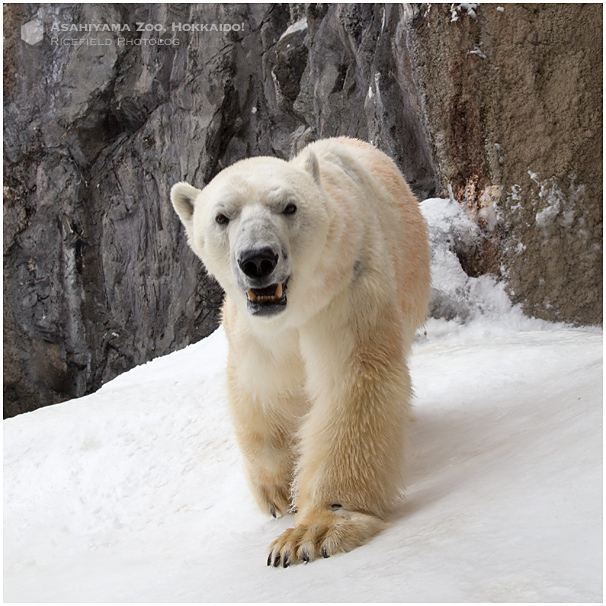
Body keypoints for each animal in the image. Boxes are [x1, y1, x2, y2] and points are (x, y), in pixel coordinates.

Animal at [172, 137, 432, 564]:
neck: (297, 306)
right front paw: (279, 493)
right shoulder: (255, 331)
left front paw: (312, 532)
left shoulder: (347, 289)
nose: (258, 259)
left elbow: (353, 379)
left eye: (289, 206)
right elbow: (265, 389)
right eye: (222, 217)